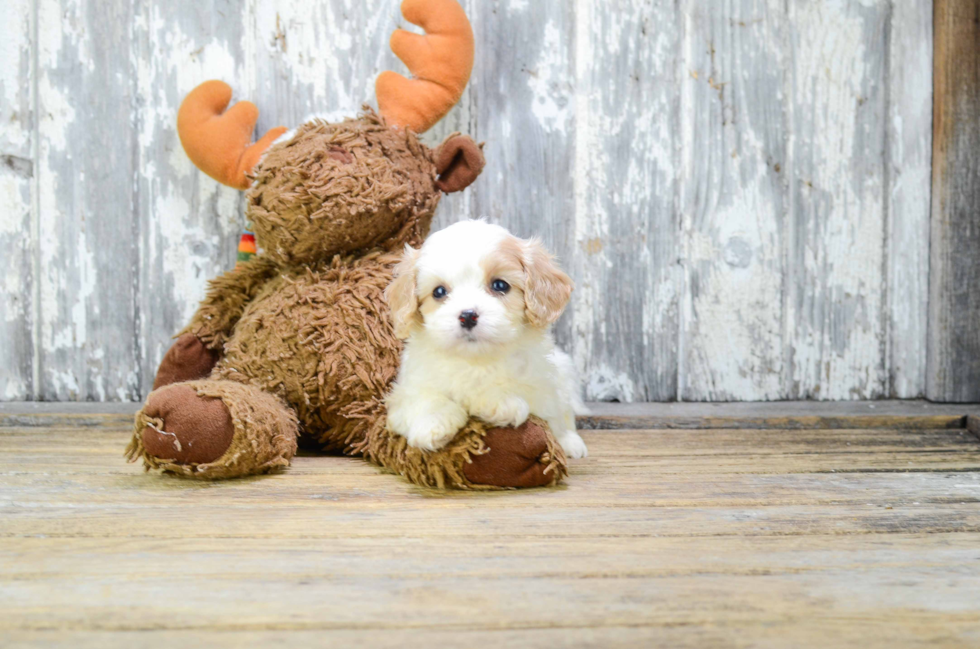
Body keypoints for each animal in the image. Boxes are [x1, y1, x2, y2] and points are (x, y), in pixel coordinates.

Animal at [382, 220, 584, 458]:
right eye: (439, 292)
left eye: (500, 285)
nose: (468, 315)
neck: (476, 359)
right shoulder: (405, 392)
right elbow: (425, 399)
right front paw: (432, 424)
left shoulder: (542, 384)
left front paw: (498, 401)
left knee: (564, 416)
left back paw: (571, 443)